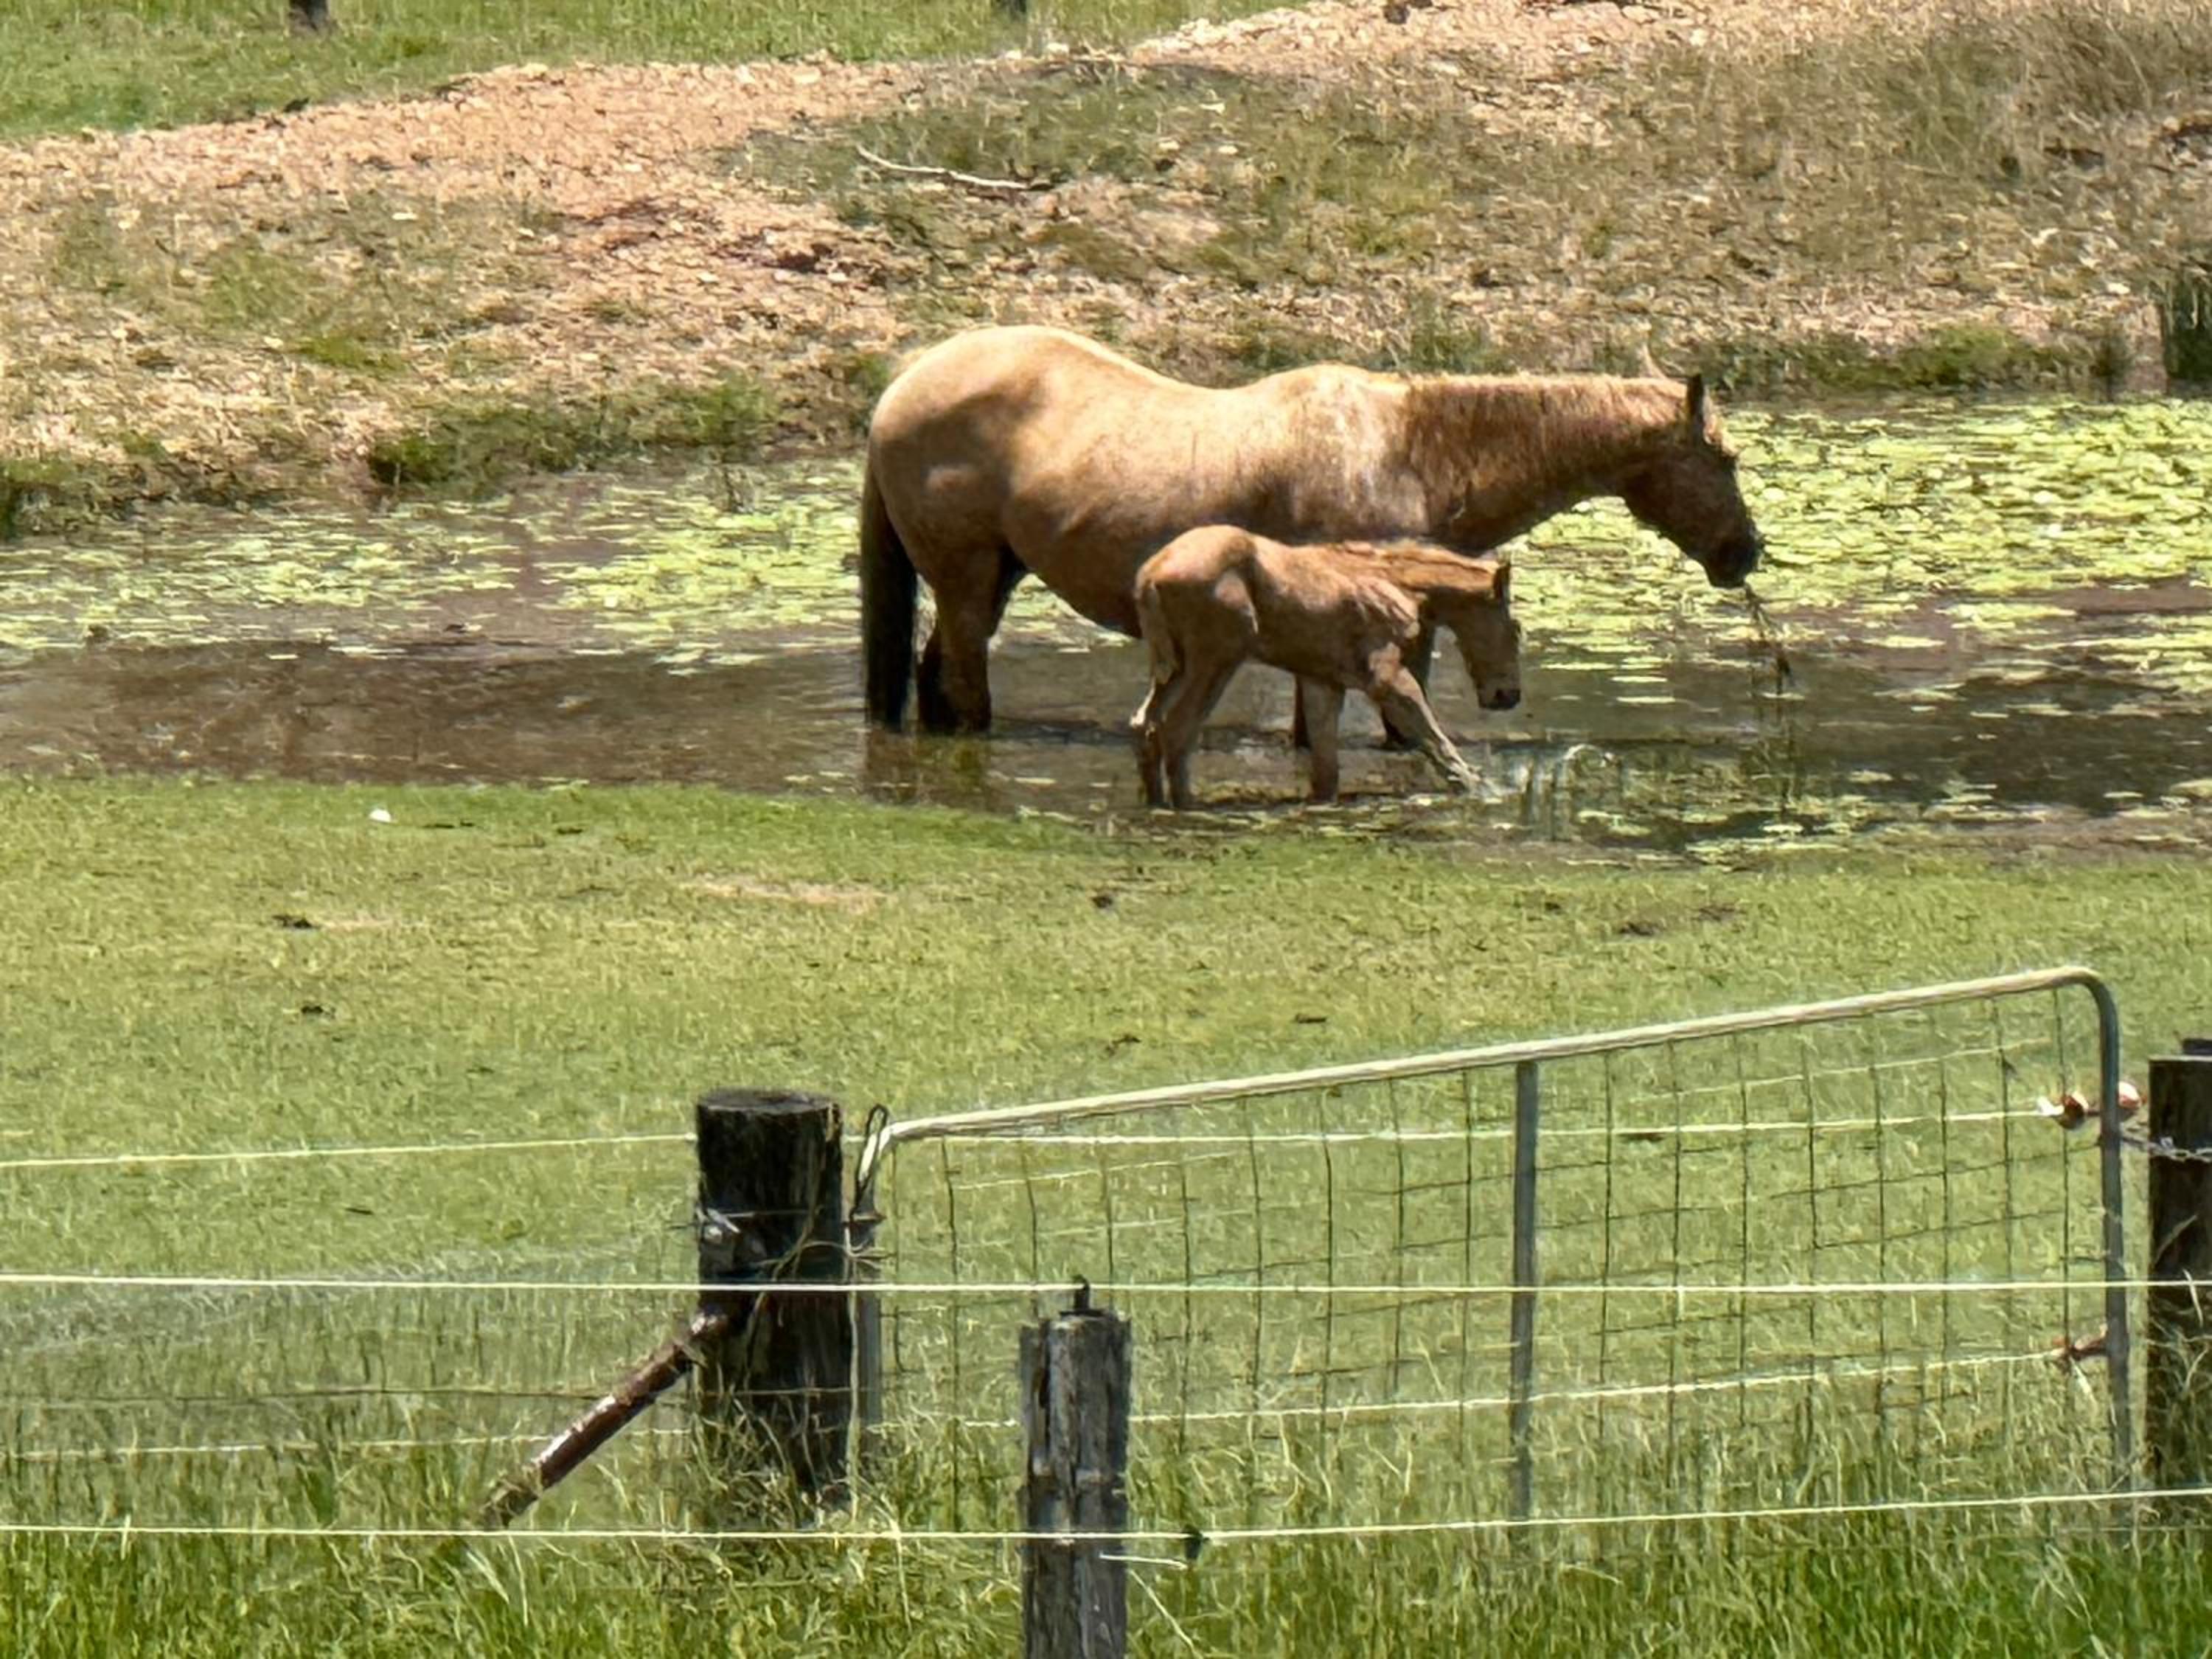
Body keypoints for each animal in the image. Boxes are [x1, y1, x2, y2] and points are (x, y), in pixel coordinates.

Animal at [859, 324, 1762, 734]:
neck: (1409, 452)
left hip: (990, 581)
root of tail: (899, 390)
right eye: (1725, 457)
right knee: (964, 690)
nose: (1747, 553)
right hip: (968, 582)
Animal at [1131, 528, 1520, 809]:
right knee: (1177, 730)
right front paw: (1480, 786)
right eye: (1516, 629)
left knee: (1145, 725)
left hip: (1172, 665)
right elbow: (1434, 738)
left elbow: (1326, 768)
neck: (1408, 589)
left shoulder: (1323, 679)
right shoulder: (1383, 677)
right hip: (1216, 657)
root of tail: (1149, 579)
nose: (1508, 695)